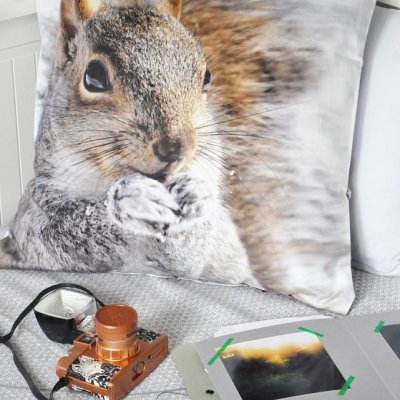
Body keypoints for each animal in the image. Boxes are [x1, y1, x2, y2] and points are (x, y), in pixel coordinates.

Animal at [0, 0, 315, 292]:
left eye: (207, 77)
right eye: (94, 76)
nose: (175, 148)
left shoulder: (221, 239)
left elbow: (191, 253)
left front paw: (192, 198)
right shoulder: (36, 215)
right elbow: (67, 228)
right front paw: (132, 201)